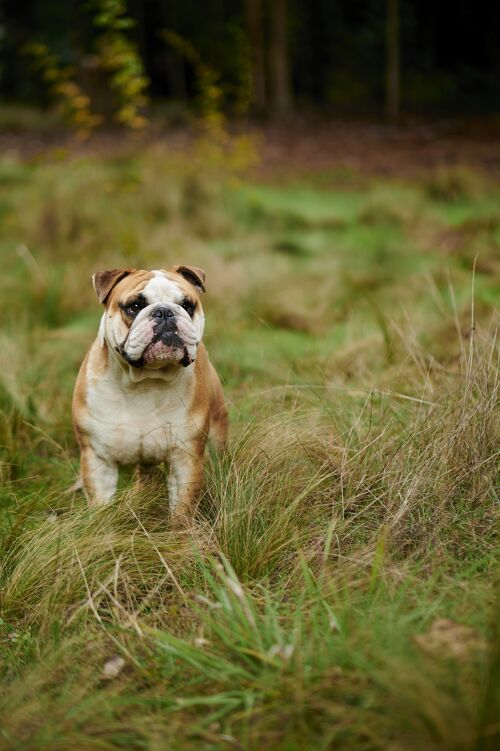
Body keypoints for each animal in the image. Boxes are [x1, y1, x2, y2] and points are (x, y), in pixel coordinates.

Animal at [72, 268, 229, 520]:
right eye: (135, 306)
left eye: (187, 305)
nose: (164, 312)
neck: (144, 381)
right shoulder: (99, 460)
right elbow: (101, 509)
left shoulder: (185, 459)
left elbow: (182, 512)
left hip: (217, 433)